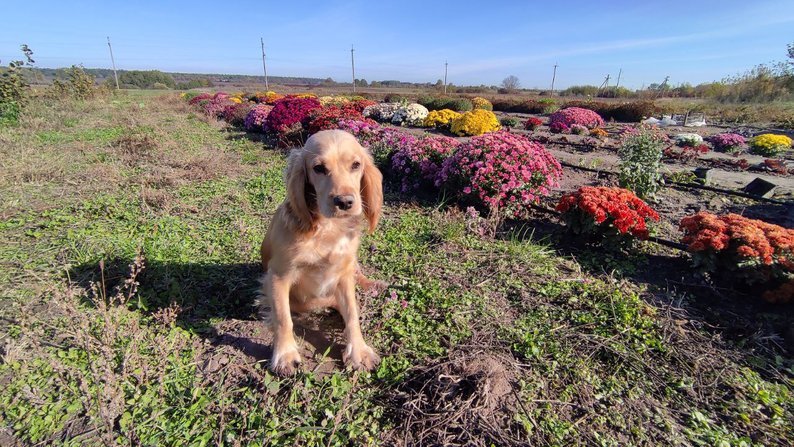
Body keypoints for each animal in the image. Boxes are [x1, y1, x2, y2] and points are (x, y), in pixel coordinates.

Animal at [260, 130, 384, 378]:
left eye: (356, 165)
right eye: (318, 168)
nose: (345, 202)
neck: (328, 229)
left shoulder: (344, 274)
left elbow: (353, 313)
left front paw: (359, 351)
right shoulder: (278, 276)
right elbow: (283, 317)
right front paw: (285, 354)